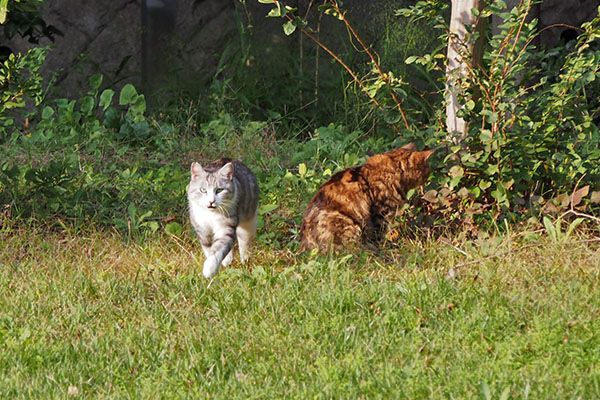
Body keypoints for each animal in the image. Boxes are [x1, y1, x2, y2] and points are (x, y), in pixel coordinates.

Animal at [302, 142, 434, 252]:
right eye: (427, 170)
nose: (428, 177)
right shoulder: (381, 213)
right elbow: (379, 233)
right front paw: (384, 247)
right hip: (349, 225)